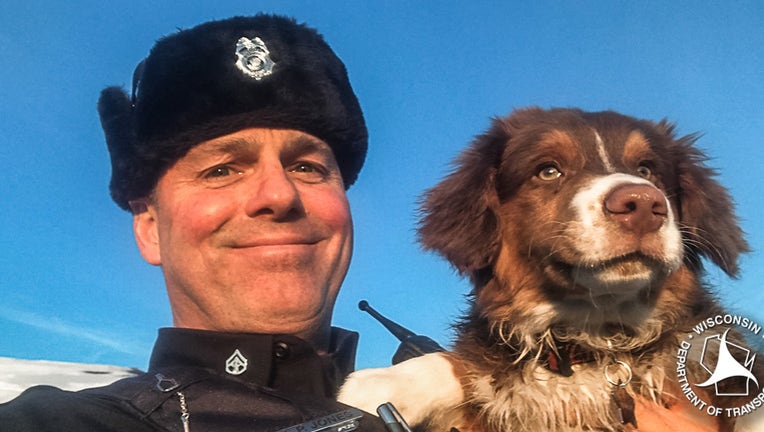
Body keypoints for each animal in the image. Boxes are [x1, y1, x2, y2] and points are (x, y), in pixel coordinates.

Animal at [340, 107, 764, 428]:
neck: (595, 342)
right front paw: (378, 384)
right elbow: (460, 364)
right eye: (548, 170)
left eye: (647, 170)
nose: (644, 204)